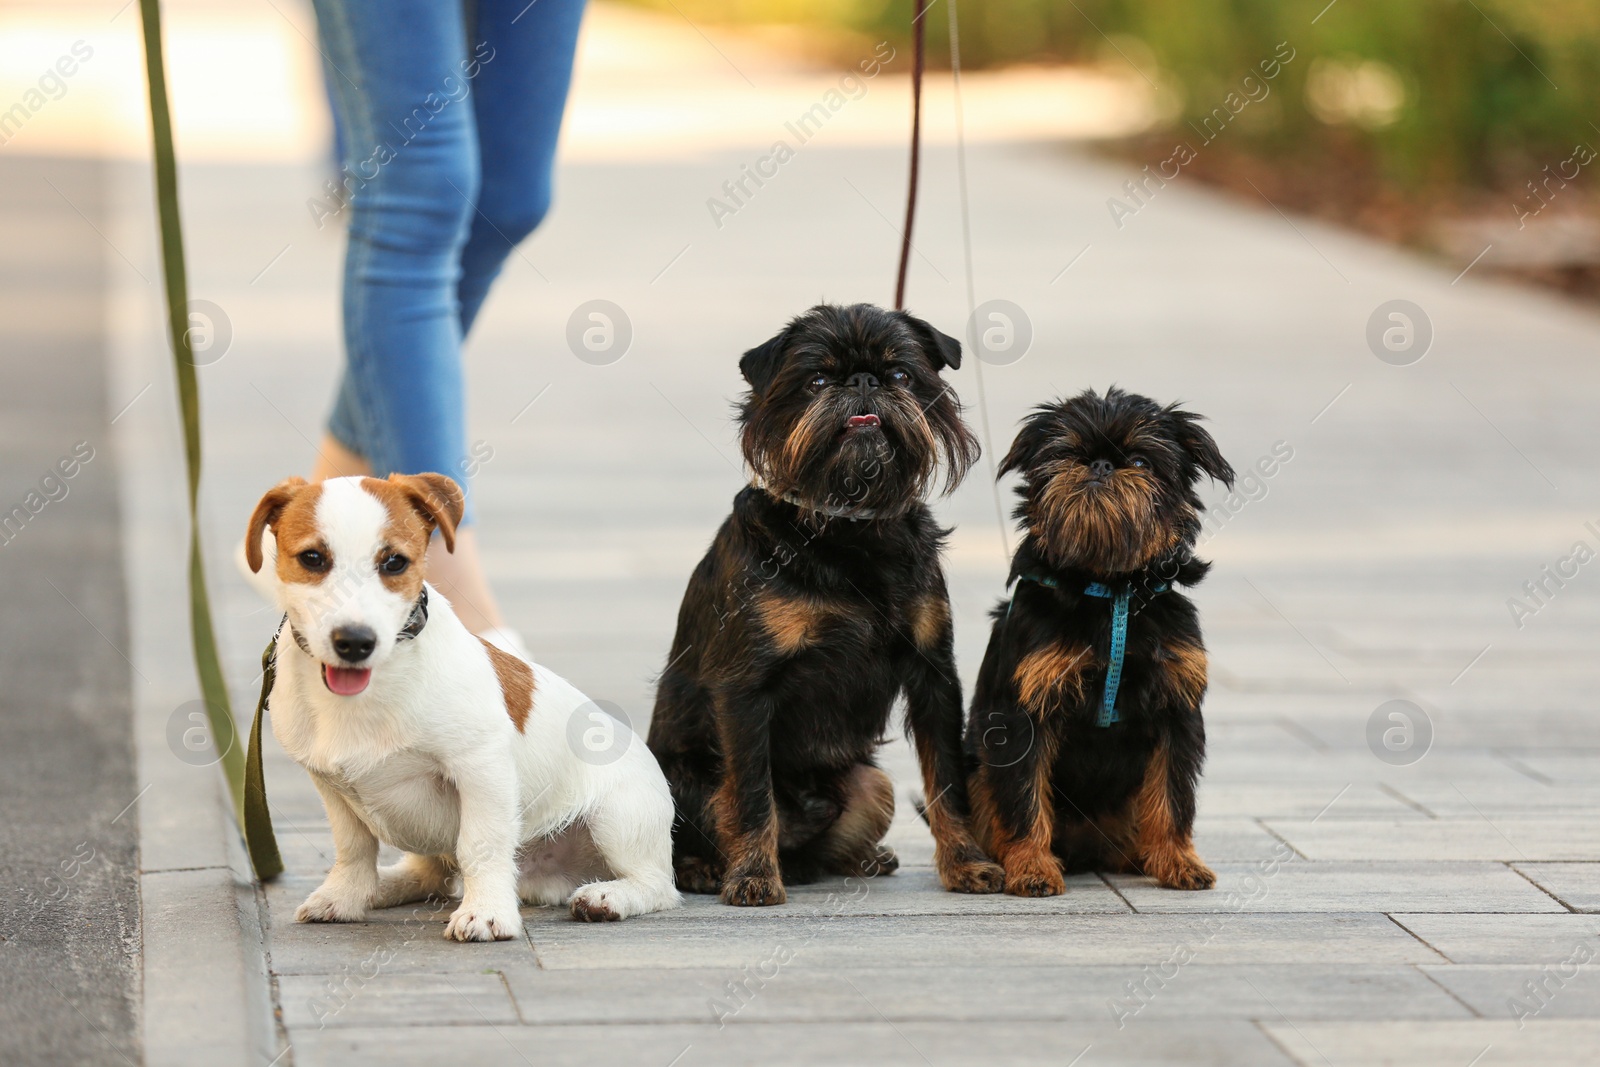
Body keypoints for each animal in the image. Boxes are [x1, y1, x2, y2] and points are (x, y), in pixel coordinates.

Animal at [243, 470, 681, 940]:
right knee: (430, 873)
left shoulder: (479, 768)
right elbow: (354, 847)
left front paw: (486, 912)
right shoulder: (331, 786)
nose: (355, 642)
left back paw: (609, 896)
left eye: (394, 563)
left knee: (658, 886)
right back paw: (384, 886)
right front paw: (344, 896)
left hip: (617, 818)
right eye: (312, 558)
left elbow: (481, 846)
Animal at [640, 303, 998, 908]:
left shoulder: (934, 677)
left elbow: (947, 781)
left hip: (871, 782)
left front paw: (967, 863)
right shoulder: (745, 689)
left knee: (826, 844)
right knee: (707, 819)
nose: (863, 383)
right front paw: (753, 876)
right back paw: (706, 868)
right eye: (817, 382)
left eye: (900, 375)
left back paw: (863, 859)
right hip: (681, 779)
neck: (848, 529)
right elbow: (751, 795)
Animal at [960, 388, 1235, 895]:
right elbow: (1024, 800)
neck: (1110, 588)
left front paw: (1178, 859)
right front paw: (1031, 867)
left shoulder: (1177, 713)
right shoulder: (1022, 718)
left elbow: (1172, 797)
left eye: (1142, 461)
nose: (1102, 464)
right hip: (975, 769)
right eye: (1067, 452)